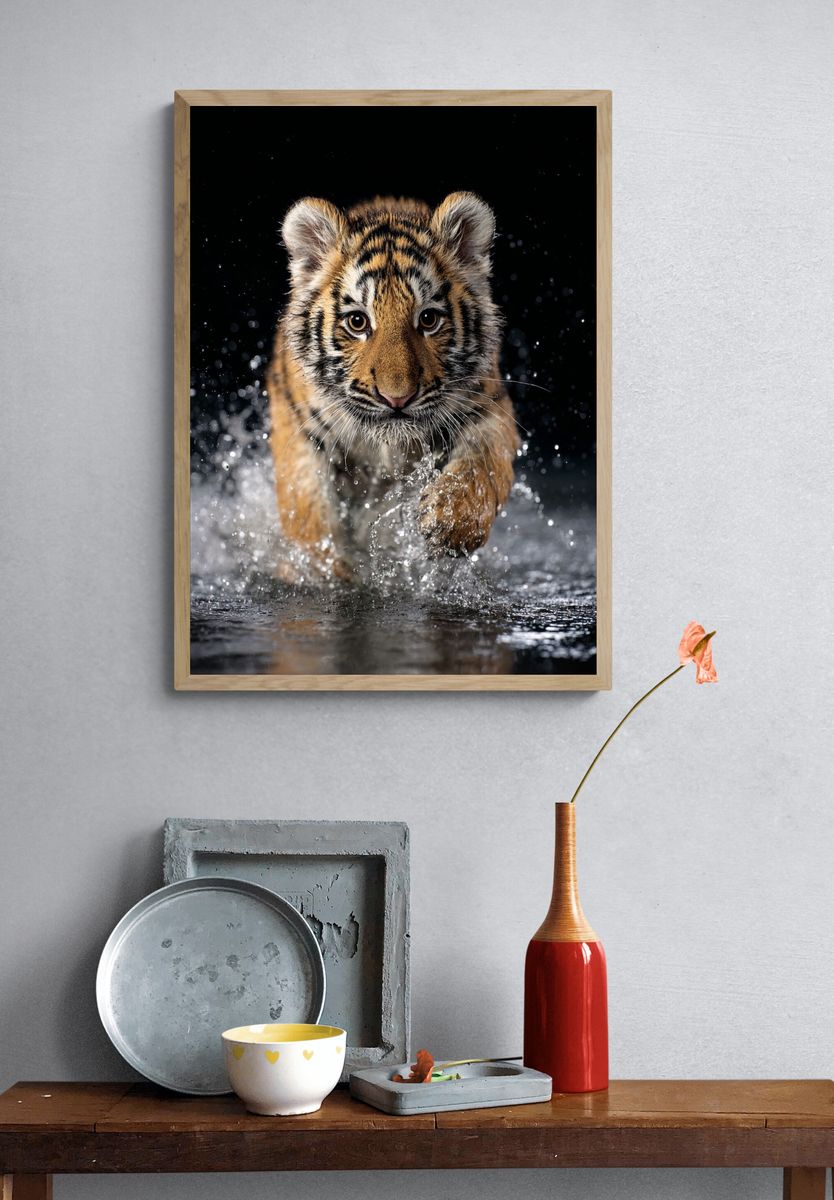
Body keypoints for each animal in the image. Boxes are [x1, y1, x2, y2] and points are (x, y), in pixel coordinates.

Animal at [267, 191, 519, 580]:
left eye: (428, 319)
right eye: (357, 322)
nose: (396, 398)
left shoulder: (488, 408)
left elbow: (481, 467)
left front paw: (449, 519)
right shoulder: (301, 430)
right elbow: (309, 514)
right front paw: (330, 572)